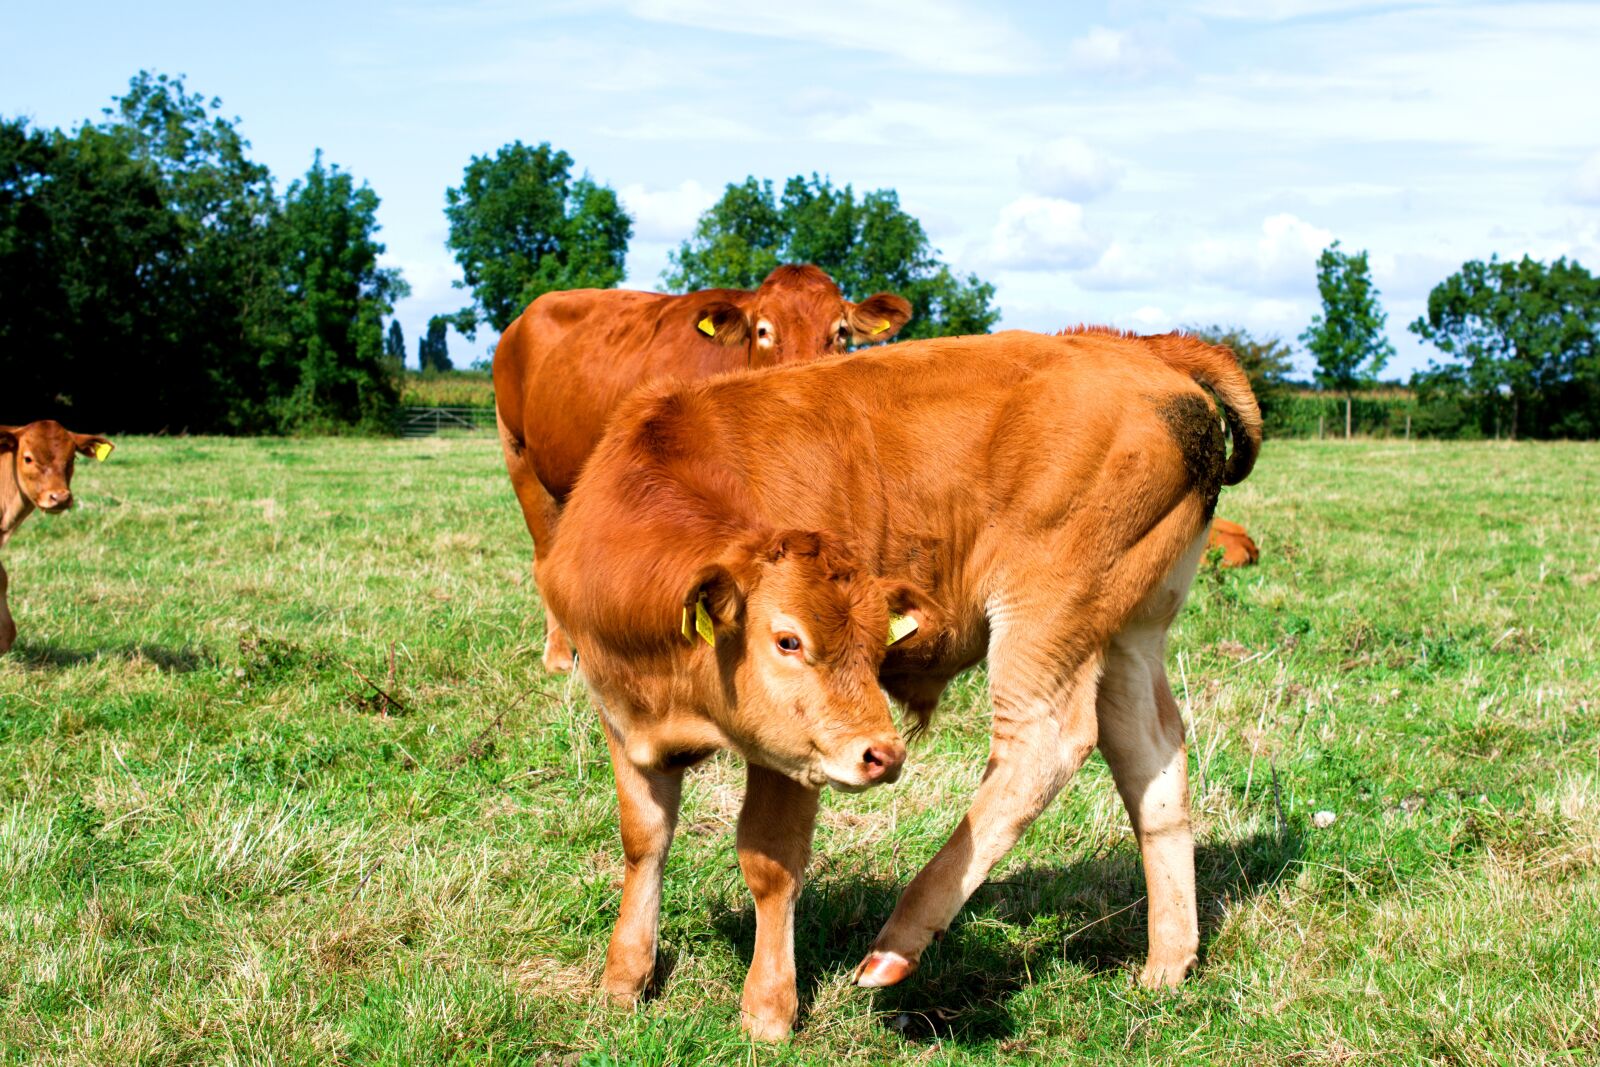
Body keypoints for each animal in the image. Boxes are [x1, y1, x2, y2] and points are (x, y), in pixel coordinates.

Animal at [539, 327, 1261, 1039]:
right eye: (787, 638)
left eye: (873, 646)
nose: (882, 754)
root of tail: (1135, 344)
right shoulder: (623, 721)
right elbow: (644, 840)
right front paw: (623, 981)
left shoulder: (792, 758)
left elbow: (769, 862)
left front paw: (768, 1009)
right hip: (1130, 630)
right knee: (1152, 759)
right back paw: (1166, 964)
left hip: (1048, 612)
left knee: (1046, 741)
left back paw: (896, 943)